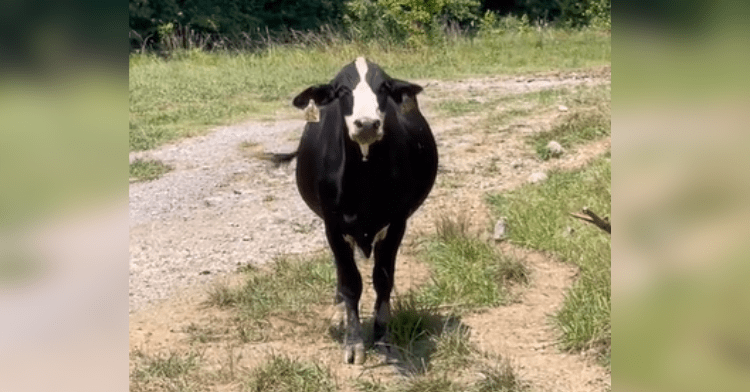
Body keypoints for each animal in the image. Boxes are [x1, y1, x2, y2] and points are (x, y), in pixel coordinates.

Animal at [278, 58, 440, 364]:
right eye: (342, 90)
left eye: (384, 88)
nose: (366, 124)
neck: (363, 180)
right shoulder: (332, 226)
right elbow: (350, 282)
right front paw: (353, 341)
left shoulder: (396, 223)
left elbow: (383, 280)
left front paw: (382, 338)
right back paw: (339, 311)